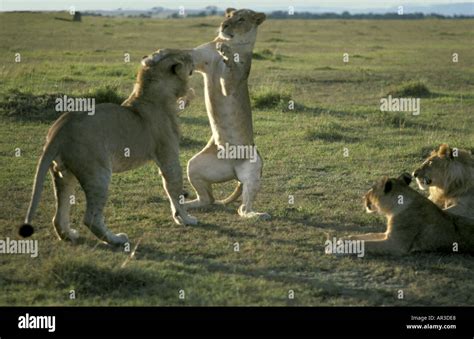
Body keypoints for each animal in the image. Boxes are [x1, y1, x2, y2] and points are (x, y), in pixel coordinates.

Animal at [21, 49, 196, 246]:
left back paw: (70, 235)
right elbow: (175, 188)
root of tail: (58, 130)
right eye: (184, 55)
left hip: (63, 174)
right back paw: (116, 239)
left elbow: (169, 188)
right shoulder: (168, 155)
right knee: (91, 218)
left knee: (58, 215)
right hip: (98, 173)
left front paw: (178, 218)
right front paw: (186, 219)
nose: (192, 53)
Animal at [183, 8, 268, 220]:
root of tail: (234, 172)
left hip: (254, 167)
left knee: (242, 208)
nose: (224, 25)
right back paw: (186, 205)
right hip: (194, 165)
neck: (233, 42)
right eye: (229, 16)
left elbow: (231, 70)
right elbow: (185, 53)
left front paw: (226, 51)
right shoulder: (198, 57)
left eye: (241, 19)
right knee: (208, 199)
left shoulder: (233, 83)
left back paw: (257, 215)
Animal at [340, 174, 474, 256]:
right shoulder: (388, 234)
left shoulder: (396, 244)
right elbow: (367, 235)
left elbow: (366, 244)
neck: (391, 210)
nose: (363, 196)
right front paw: (344, 239)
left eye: (372, 189)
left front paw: (343, 246)